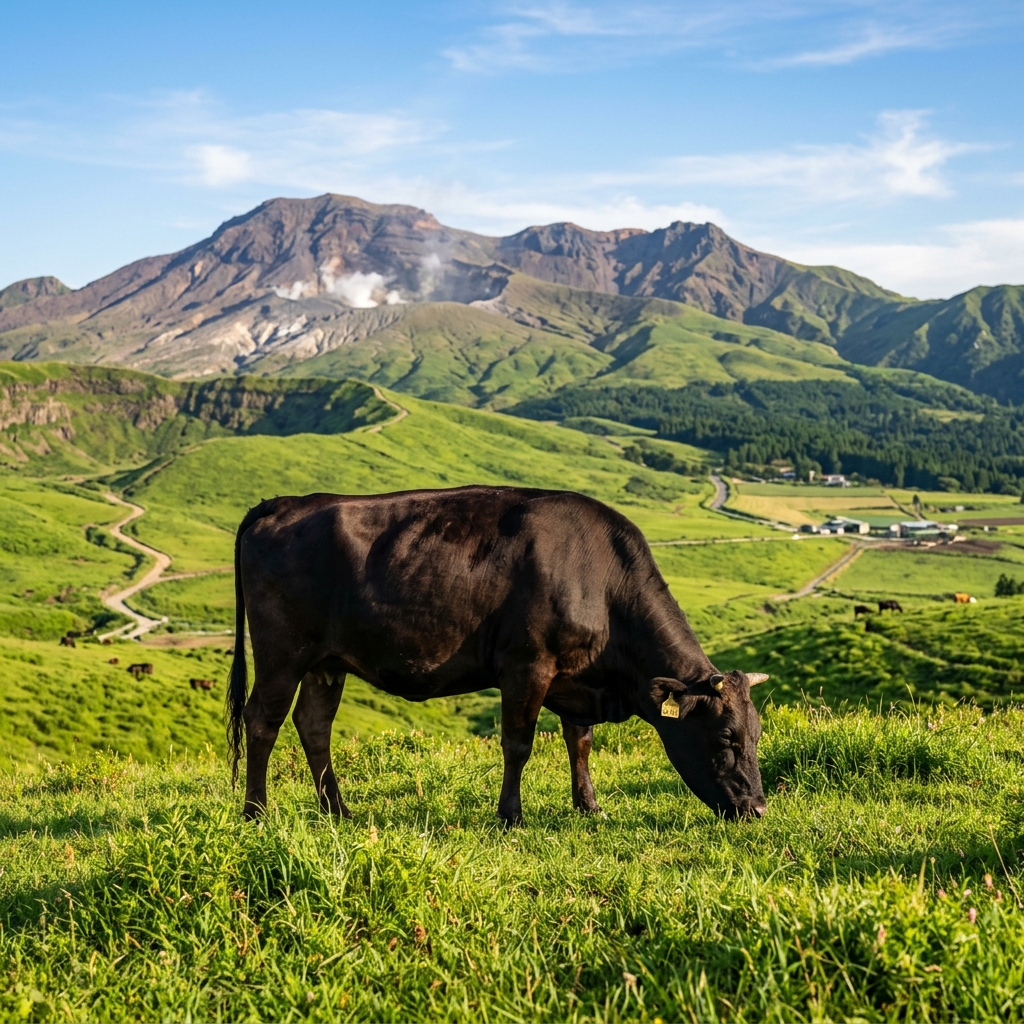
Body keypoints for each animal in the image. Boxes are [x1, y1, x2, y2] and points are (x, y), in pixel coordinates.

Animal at [227, 486, 770, 826]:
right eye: (726, 736)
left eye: (758, 733)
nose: (759, 810)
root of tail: (282, 504)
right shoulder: (527, 666)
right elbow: (518, 744)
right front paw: (511, 815)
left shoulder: (577, 676)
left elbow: (580, 742)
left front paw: (589, 806)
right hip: (282, 653)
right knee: (262, 721)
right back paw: (257, 812)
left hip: (326, 663)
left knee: (313, 725)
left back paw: (337, 810)